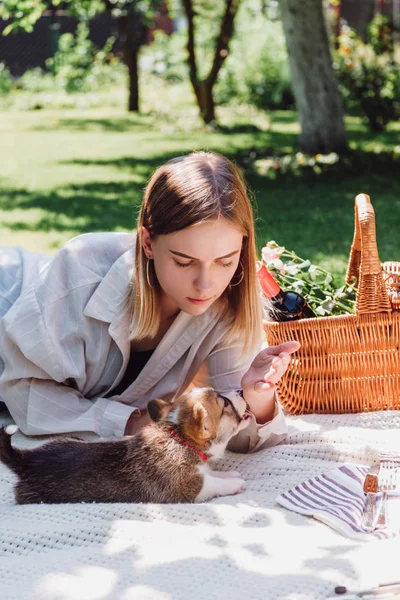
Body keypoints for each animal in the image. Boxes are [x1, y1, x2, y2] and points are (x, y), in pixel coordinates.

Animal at [0, 386, 250, 504]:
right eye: (225, 403)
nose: (240, 390)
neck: (178, 437)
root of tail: (25, 461)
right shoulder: (186, 487)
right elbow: (211, 483)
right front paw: (233, 483)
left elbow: (211, 473)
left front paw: (230, 474)